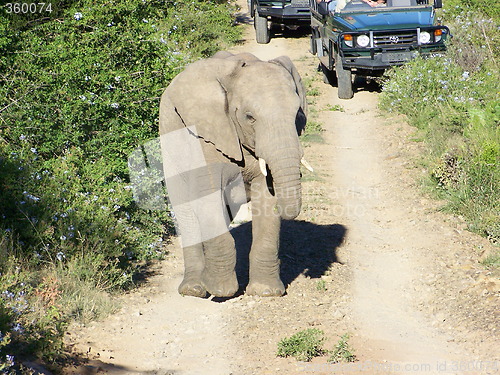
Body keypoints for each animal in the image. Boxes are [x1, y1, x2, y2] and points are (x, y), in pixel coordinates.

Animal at [159, 51, 308, 298]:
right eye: (249, 117)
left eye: (298, 114)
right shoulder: (206, 134)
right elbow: (207, 195)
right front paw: (220, 289)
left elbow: (266, 198)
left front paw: (265, 292)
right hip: (168, 138)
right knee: (186, 210)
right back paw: (194, 289)